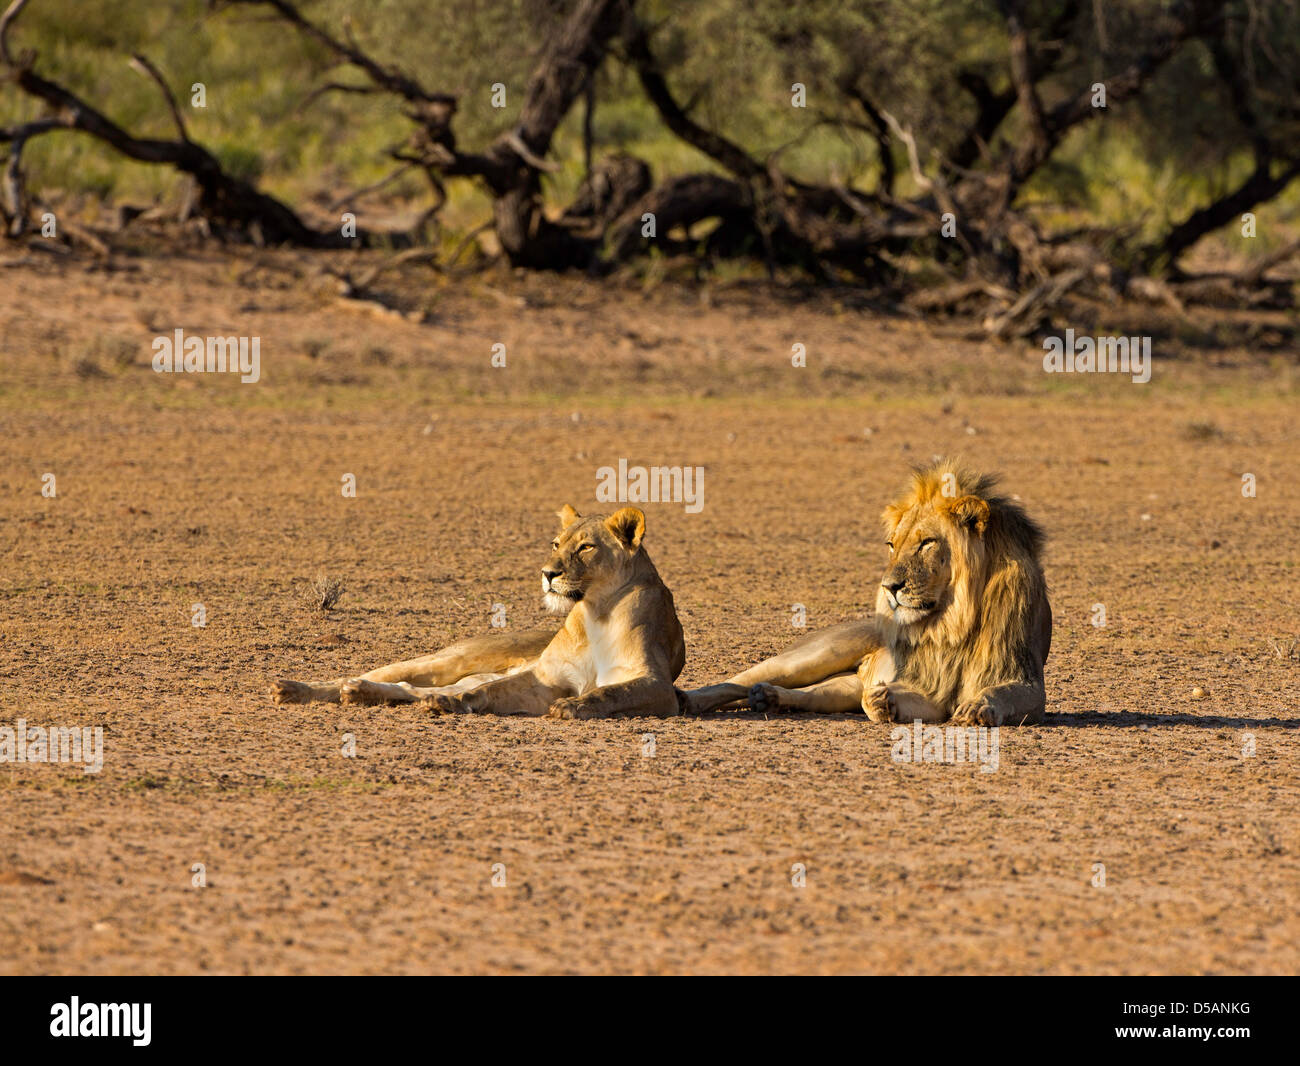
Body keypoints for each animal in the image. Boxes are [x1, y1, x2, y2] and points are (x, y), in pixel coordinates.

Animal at [273, 505, 686, 720]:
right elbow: (488, 690)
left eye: (586, 547)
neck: (595, 610)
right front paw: (455, 703)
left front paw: (574, 705)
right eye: (556, 544)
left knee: (409, 689)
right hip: (450, 659)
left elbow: (611, 692)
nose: (548, 573)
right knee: (383, 674)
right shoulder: (544, 678)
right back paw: (296, 688)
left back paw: (363, 693)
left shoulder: (658, 686)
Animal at [679, 461, 1051, 726]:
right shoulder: (924, 684)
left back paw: (768, 698)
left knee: (810, 694)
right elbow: (881, 700)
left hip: (840, 687)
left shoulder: (1021, 676)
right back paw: (687, 699)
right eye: (892, 545)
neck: (952, 620)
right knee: (736, 682)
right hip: (814, 654)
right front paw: (882, 701)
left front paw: (976, 706)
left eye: (926, 543)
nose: (889, 588)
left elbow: (1004, 694)